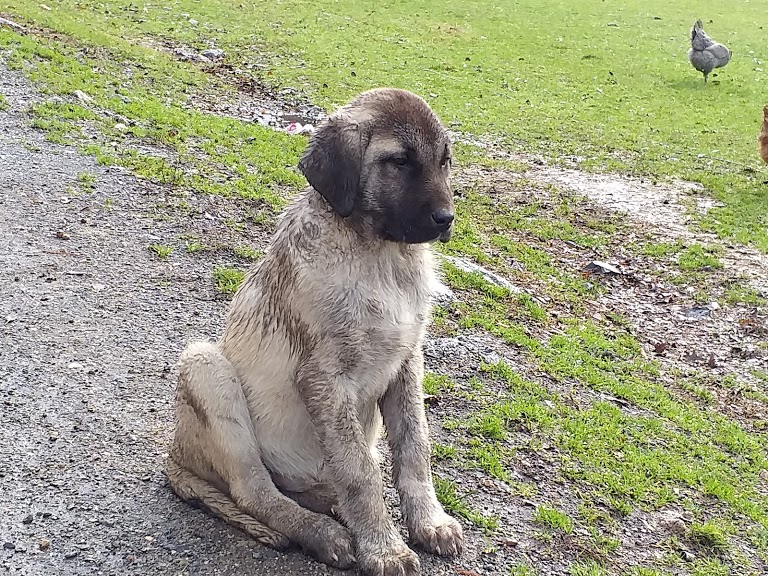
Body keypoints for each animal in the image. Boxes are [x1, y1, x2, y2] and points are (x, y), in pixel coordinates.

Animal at [166, 86, 462, 576]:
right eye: (399, 161)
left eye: (444, 160)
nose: (445, 219)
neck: (381, 257)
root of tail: (175, 458)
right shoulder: (324, 377)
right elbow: (360, 472)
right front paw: (385, 548)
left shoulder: (407, 362)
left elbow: (414, 448)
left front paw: (429, 522)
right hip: (205, 367)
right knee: (255, 492)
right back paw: (321, 533)